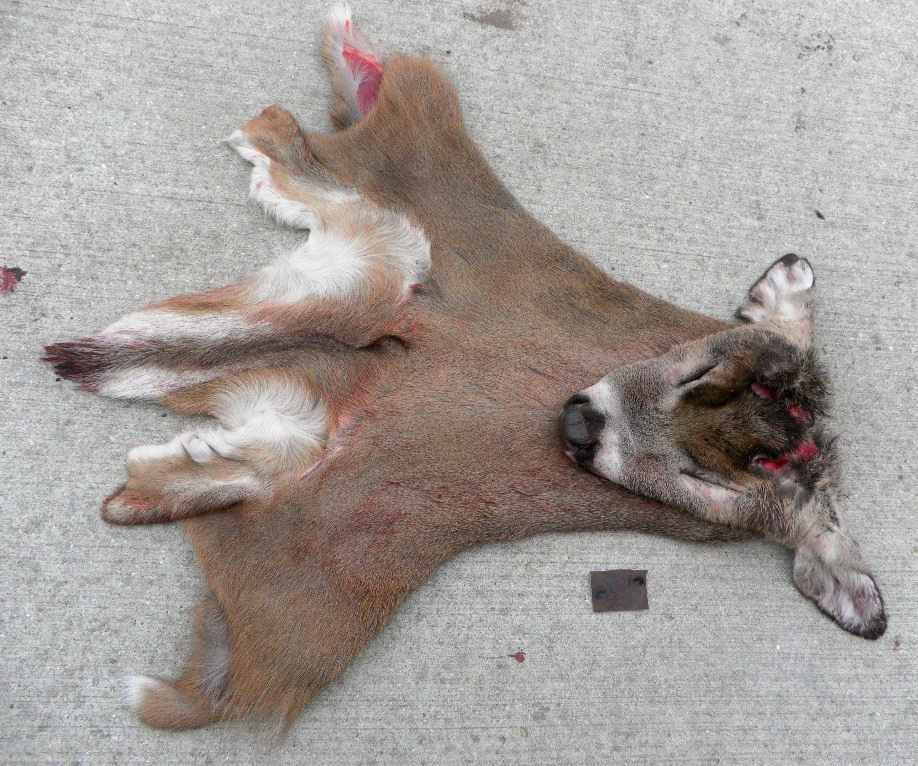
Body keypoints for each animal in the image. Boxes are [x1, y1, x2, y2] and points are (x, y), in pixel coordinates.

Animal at [43, 4, 886, 731]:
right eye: (699, 373)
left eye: (706, 487)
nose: (578, 421)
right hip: (418, 178)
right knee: (336, 136)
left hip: (317, 586)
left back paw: (131, 447)